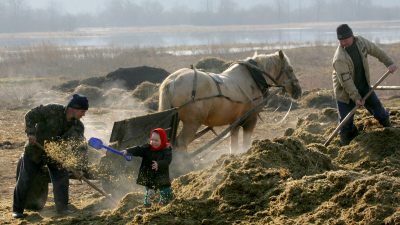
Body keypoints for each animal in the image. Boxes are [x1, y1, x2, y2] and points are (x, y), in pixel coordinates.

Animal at [158, 50, 302, 153]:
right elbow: (245, 142)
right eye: (290, 69)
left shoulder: (234, 122)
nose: (298, 91)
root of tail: (172, 81)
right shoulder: (250, 119)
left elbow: (234, 144)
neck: (253, 78)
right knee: (181, 144)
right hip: (191, 123)